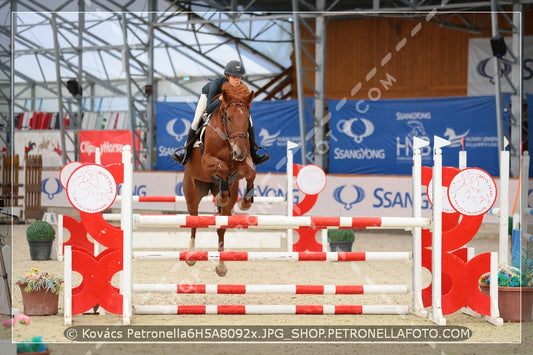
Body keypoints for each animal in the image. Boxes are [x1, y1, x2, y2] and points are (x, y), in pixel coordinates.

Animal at [182, 83, 256, 278]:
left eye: (247, 120)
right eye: (229, 118)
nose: (239, 152)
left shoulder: (241, 165)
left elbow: (250, 172)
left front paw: (246, 202)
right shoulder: (207, 161)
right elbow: (221, 167)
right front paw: (223, 194)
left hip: (228, 206)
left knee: (221, 227)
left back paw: (222, 266)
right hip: (192, 193)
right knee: (194, 220)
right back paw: (191, 256)